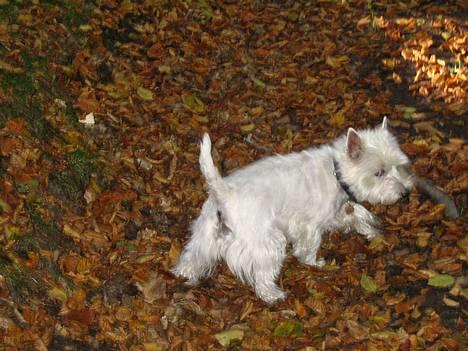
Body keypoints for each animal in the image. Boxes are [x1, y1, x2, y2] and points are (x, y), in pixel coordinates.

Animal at [174, 117, 414, 302]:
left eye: (398, 166)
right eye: (379, 172)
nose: (405, 193)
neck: (336, 172)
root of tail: (224, 193)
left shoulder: (335, 212)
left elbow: (355, 216)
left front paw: (372, 231)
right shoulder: (309, 225)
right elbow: (309, 247)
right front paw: (313, 263)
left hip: (205, 234)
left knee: (192, 257)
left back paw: (183, 276)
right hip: (266, 241)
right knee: (261, 274)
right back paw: (273, 294)